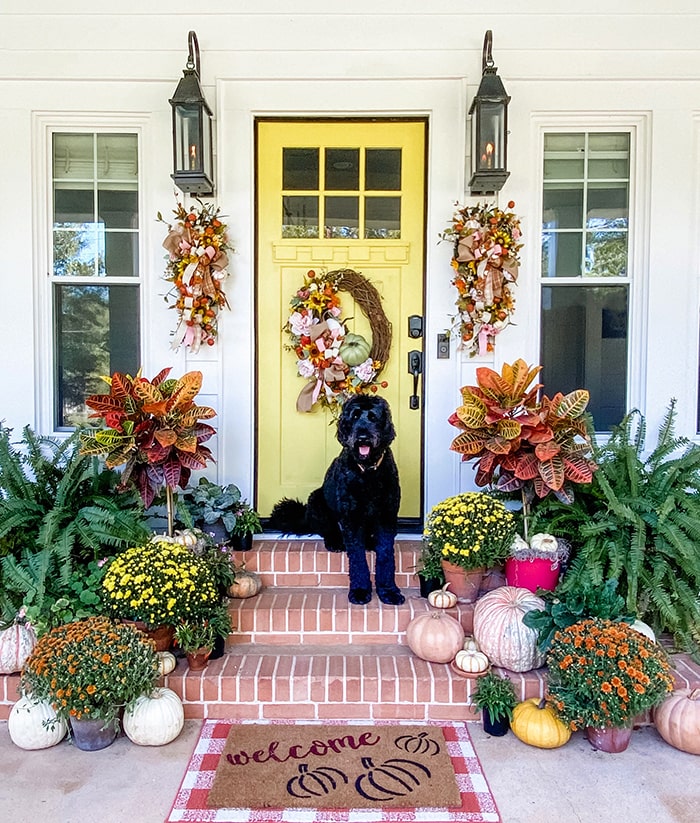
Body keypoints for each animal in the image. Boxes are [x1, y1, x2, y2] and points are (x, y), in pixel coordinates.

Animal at [270, 396, 404, 608]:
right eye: (355, 416)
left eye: (373, 417)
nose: (362, 438)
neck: (368, 472)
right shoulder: (351, 518)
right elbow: (357, 558)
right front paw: (360, 591)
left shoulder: (386, 516)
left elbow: (385, 556)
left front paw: (388, 591)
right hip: (317, 501)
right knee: (328, 530)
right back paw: (335, 542)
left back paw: (370, 542)